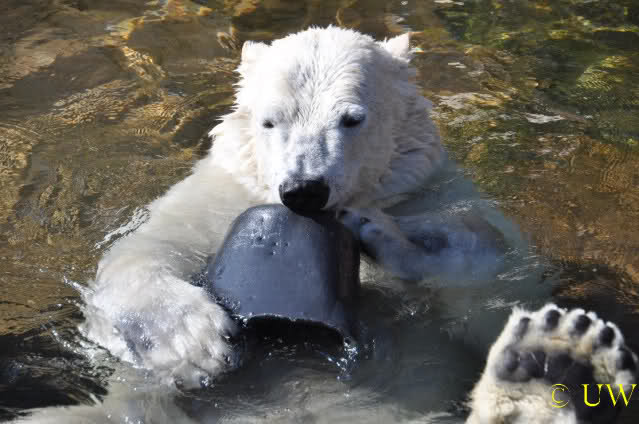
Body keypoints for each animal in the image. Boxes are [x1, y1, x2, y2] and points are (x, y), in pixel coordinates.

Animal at [67, 27, 636, 424]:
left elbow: (492, 259)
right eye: (271, 120)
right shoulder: (221, 193)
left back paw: (545, 365)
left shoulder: (433, 188)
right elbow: (144, 250)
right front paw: (192, 341)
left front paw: (384, 234)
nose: (304, 189)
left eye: (352, 118)